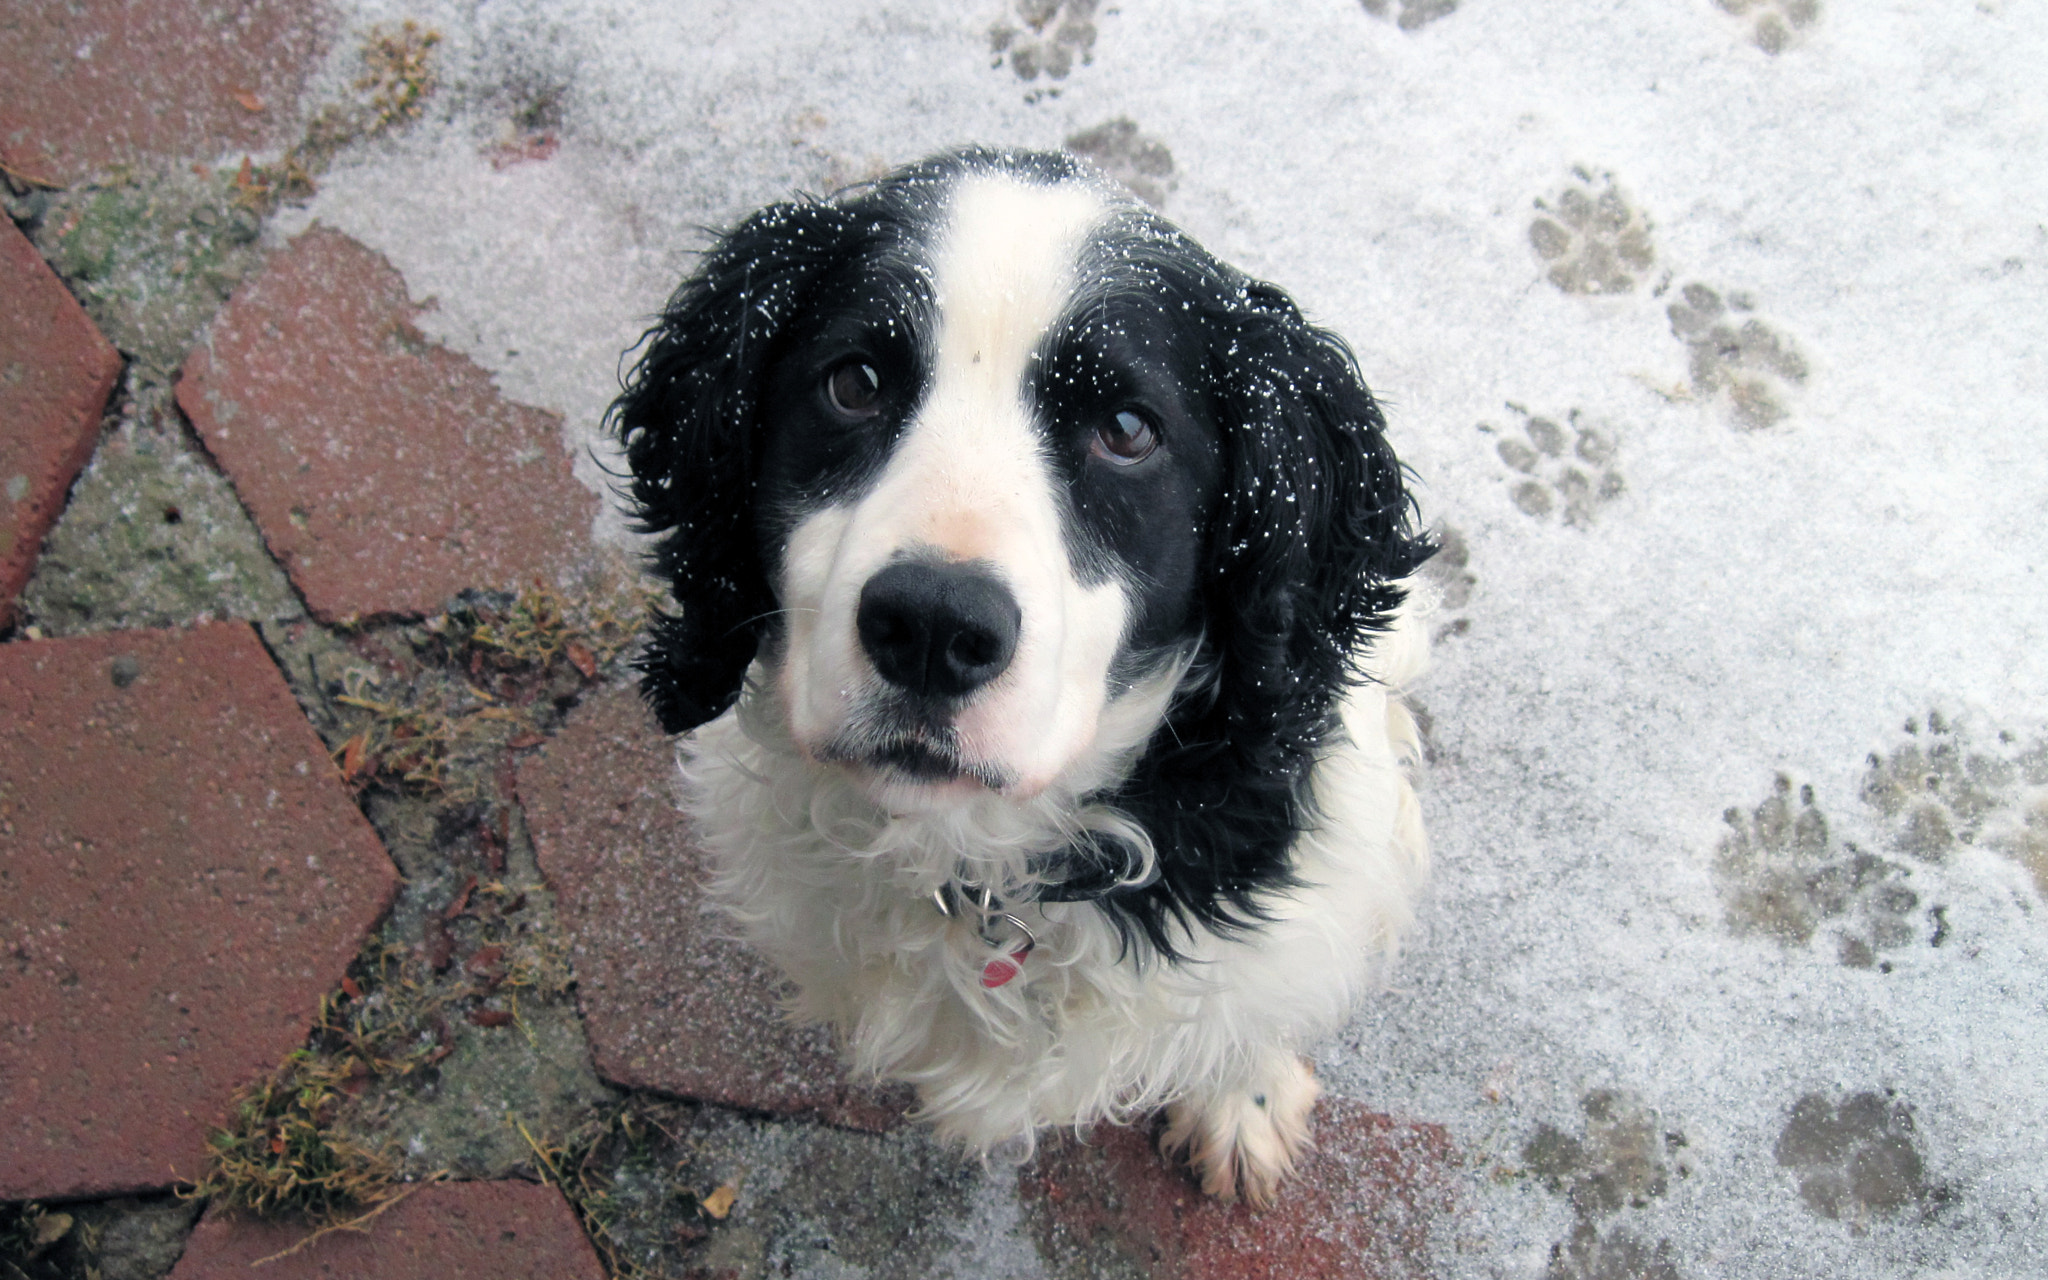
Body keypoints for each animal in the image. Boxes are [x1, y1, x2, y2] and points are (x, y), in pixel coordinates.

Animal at [614, 147, 1433, 1196]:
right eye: (855, 382)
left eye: (1127, 428)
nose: (931, 626)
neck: (985, 863)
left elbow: (1251, 1008)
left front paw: (1240, 1099)